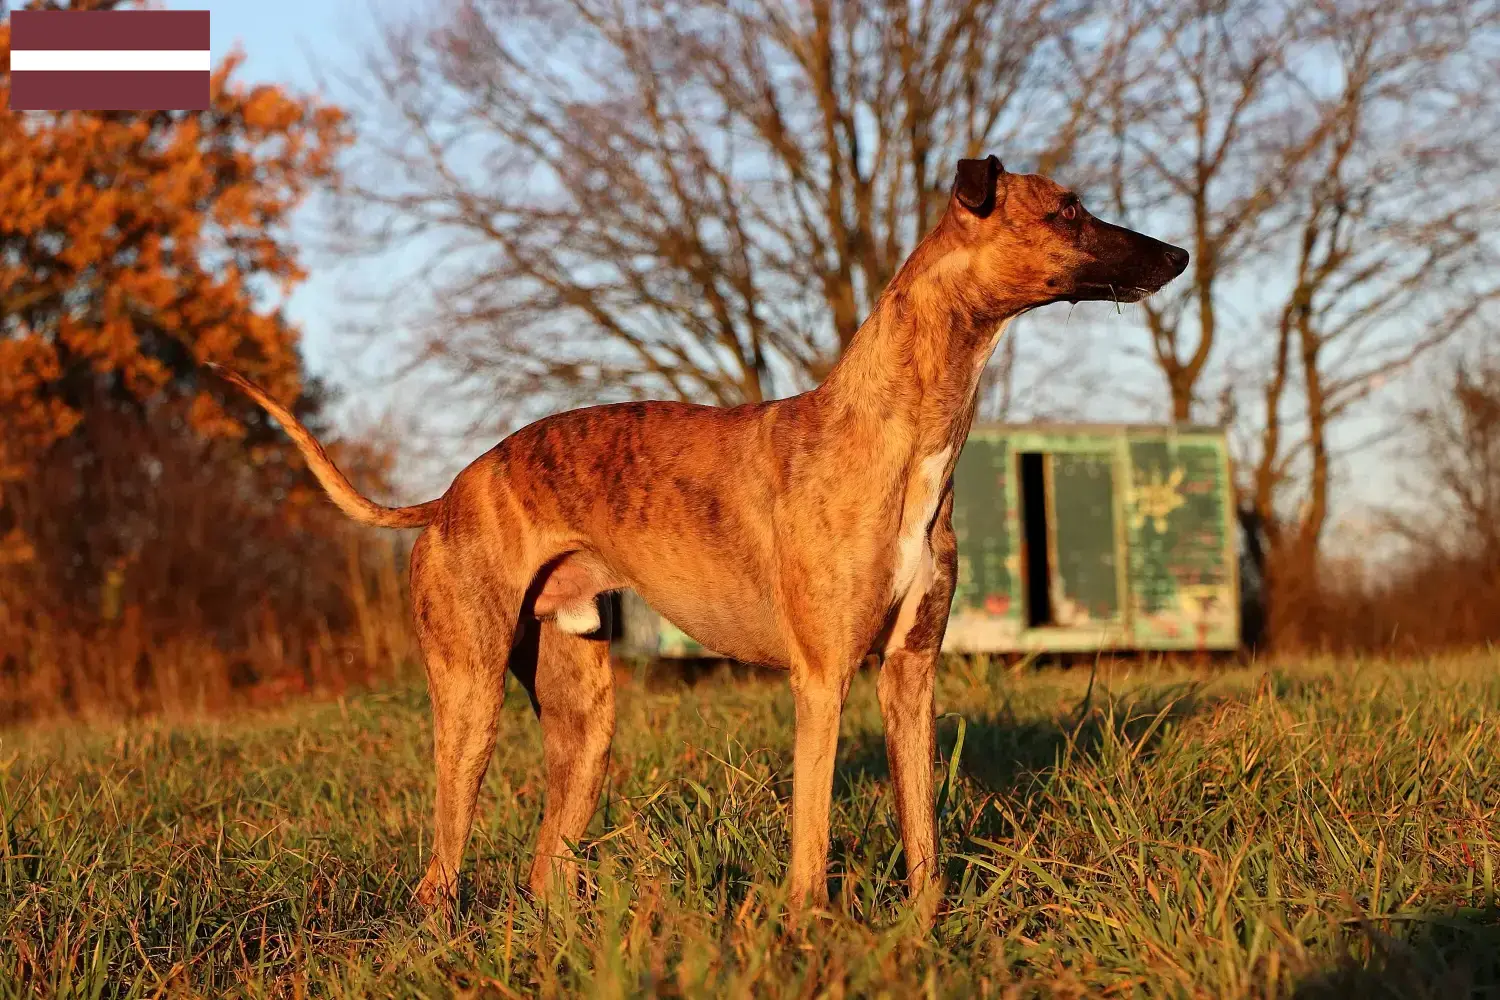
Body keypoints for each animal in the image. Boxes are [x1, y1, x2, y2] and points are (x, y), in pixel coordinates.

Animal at [214, 152, 1194, 929]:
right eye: (1067, 209)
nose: (1179, 255)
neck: (895, 429)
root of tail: (448, 495)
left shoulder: (910, 673)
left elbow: (922, 832)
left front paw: (928, 929)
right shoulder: (822, 679)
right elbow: (812, 837)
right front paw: (808, 933)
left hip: (584, 719)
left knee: (544, 866)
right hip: (469, 694)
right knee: (442, 864)